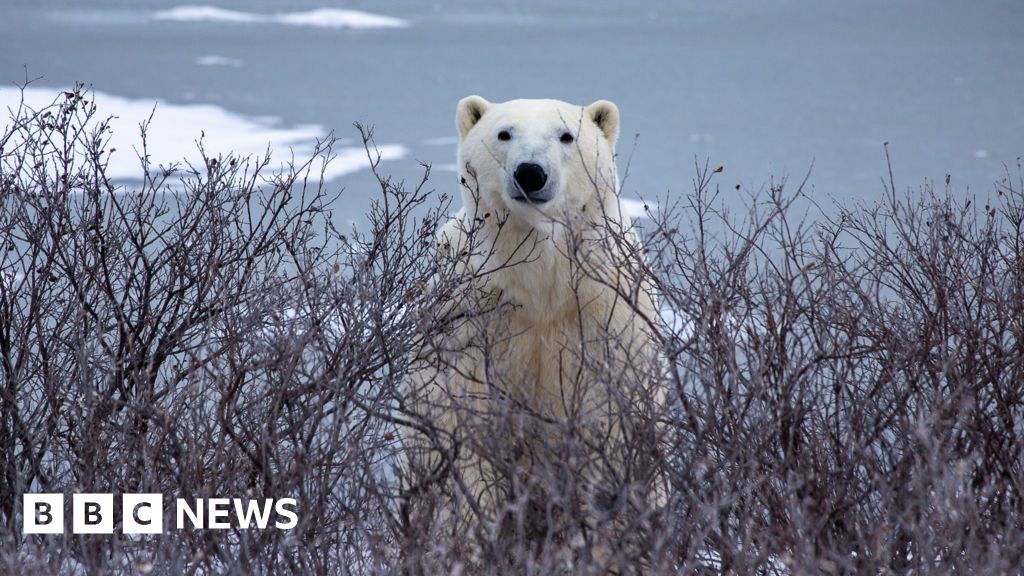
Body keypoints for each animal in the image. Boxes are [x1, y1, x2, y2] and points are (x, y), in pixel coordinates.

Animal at [403, 96, 659, 549]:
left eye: (566, 135)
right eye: (504, 133)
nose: (530, 172)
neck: (541, 282)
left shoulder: (605, 314)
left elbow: (607, 418)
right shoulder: (472, 319)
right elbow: (467, 424)